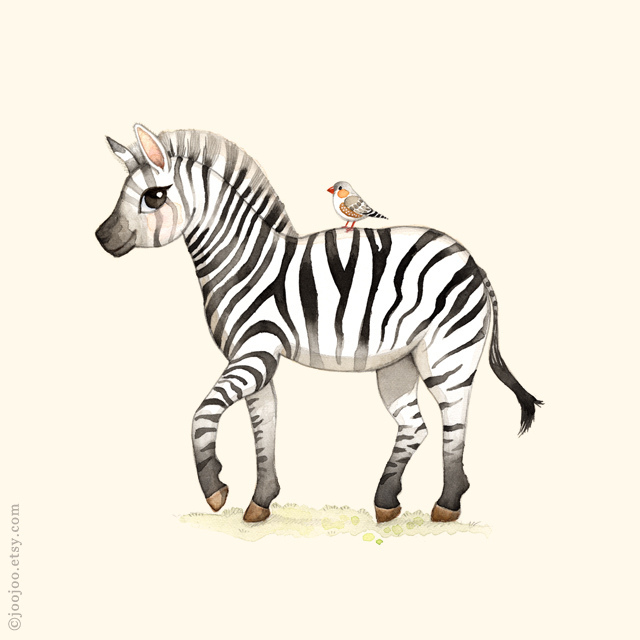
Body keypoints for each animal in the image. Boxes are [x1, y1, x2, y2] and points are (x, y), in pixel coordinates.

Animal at [96, 124, 542, 524]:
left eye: (154, 196)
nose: (100, 237)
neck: (243, 260)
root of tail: (470, 258)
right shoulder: (255, 357)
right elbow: (264, 426)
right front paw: (261, 502)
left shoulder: (256, 353)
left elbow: (202, 415)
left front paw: (216, 491)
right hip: (398, 362)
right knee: (415, 427)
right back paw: (386, 503)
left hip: (447, 353)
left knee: (455, 424)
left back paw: (447, 505)